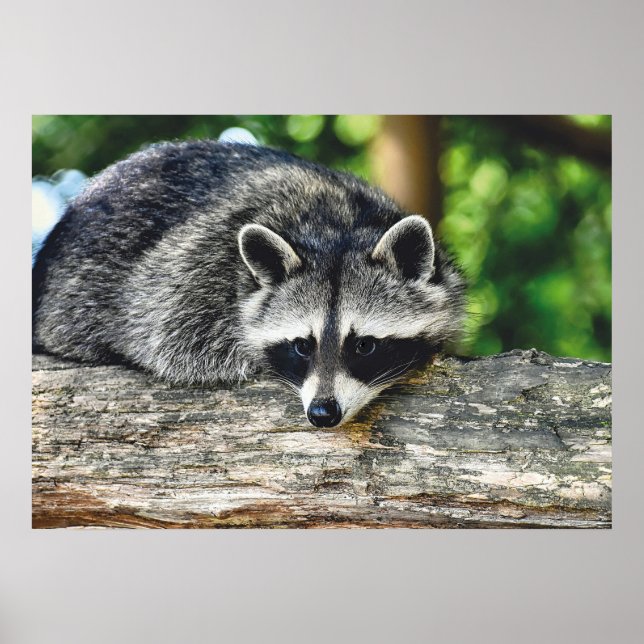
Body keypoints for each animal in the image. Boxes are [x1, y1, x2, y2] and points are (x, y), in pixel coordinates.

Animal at [33, 140, 465, 427]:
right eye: (302, 345)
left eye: (364, 345)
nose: (322, 413)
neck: (338, 226)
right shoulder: (190, 275)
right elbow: (167, 338)